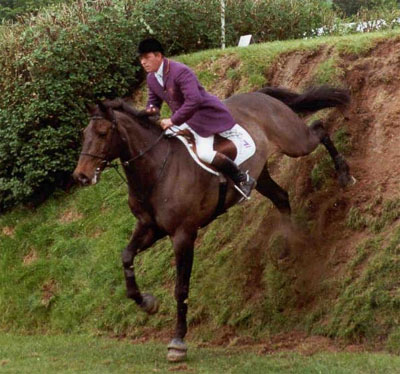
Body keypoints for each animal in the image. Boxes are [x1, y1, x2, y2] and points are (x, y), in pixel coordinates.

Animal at [72, 85, 354, 362]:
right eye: (85, 133)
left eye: (102, 132)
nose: (81, 176)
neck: (157, 169)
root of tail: (260, 95)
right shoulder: (150, 228)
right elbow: (126, 256)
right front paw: (147, 303)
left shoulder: (183, 235)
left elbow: (181, 288)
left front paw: (178, 342)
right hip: (261, 174)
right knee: (282, 197)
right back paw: (286, 242)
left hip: (294, 141)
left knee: (319, 129)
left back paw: (344, 173)